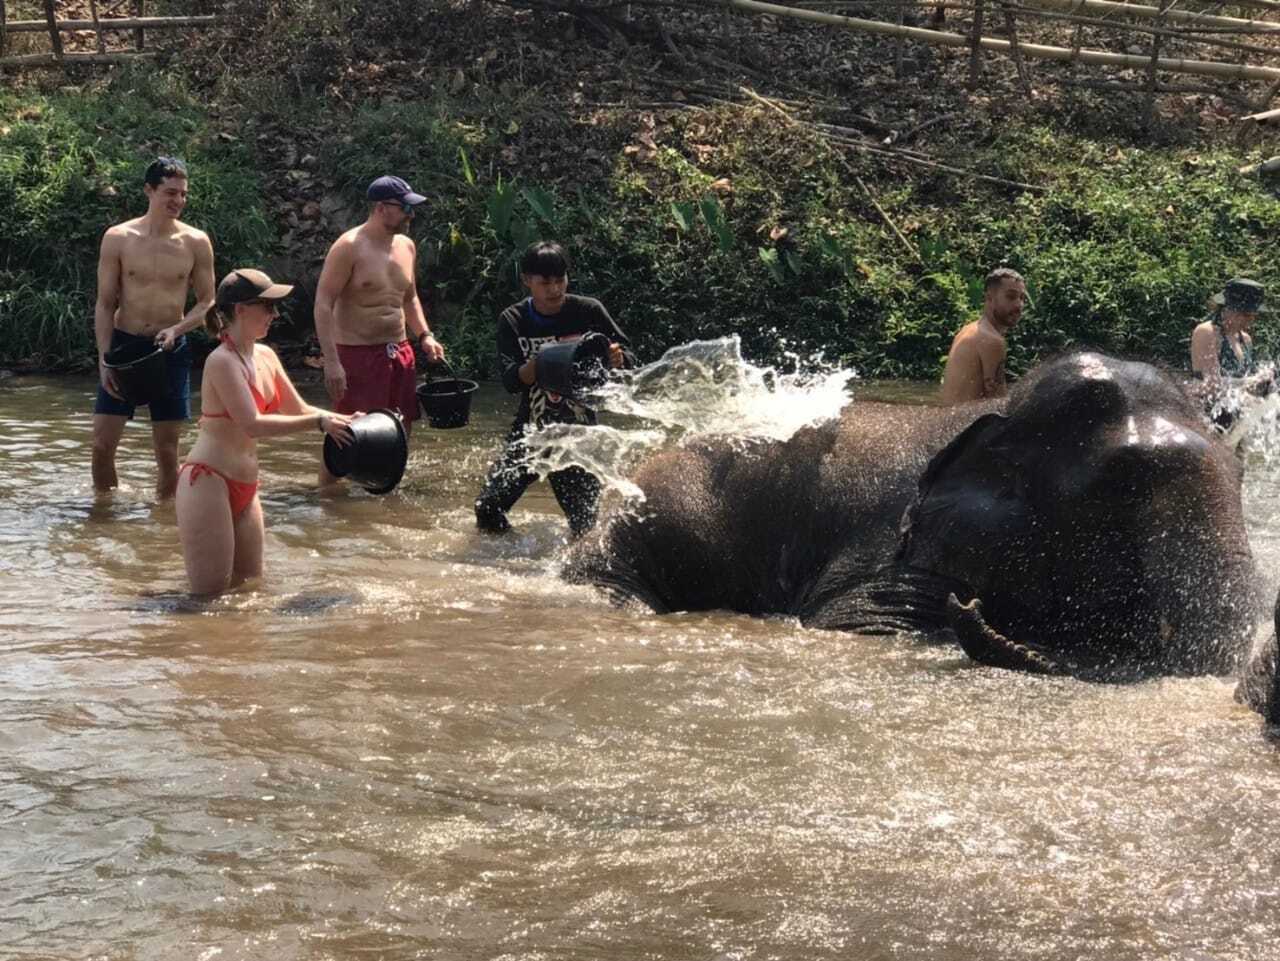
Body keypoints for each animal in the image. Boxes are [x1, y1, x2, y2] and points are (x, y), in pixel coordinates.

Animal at [573, 350, 1280, 701]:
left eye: (1241, 472)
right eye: (1124, 488)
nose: (971, 610)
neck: (999, 411)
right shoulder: (897, 546)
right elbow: (861, 620)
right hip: (632, 539)